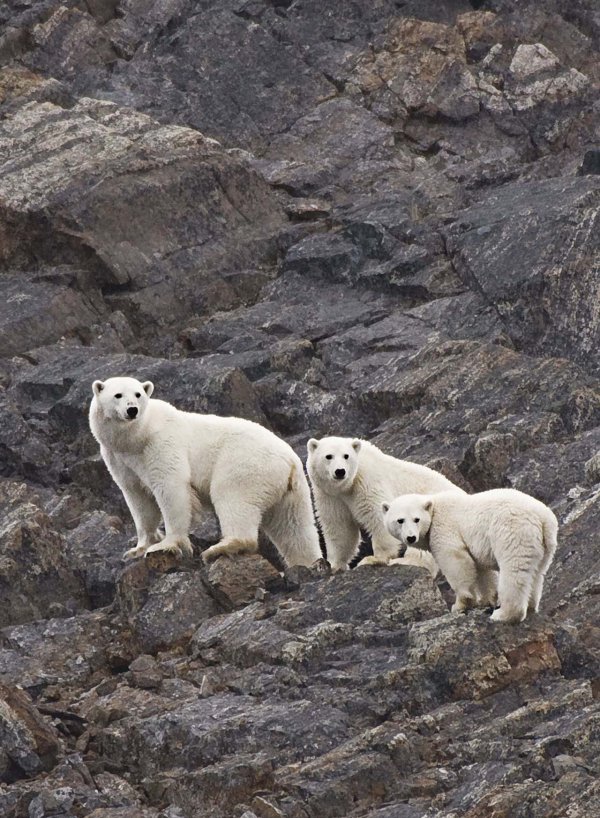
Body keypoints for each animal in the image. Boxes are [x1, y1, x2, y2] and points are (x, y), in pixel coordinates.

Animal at [89, 376, 322, 567]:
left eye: (138, 394)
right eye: (118, 395)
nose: (132, 409)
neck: (136, 438)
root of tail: (290, 460)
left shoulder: (161, 444)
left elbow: (171, 488)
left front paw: (167, 544)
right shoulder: (118, 458)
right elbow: (137, 498)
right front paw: (139, 548)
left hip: (247, 464)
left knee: (232, 496)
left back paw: (221, 548)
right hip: (291, 491)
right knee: (293, 528)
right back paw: (308, 563)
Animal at [306, 436, 464, 573]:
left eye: (346, 456)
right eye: (328, 456)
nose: (340, 471)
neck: (346, 487)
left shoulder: (367, 482)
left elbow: (377, 515)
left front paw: (374, 559)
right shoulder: (330, 496)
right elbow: (339, 526)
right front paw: (334, 565)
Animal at [382, 489, 558, 623]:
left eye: (416, 519)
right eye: (400, 520)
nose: (411, 537)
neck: (435, 507)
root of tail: (543, 518)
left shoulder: (444, 528)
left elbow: (455, 561)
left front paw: (459, 605)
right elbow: (481, 569)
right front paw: (486, 599)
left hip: (513, 531)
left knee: (514, 571)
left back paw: (503, 614)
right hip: (545, 545)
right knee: (537, 573)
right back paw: (530, 606)